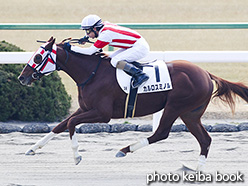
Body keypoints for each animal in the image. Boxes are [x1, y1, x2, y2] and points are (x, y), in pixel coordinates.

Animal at [17, 37, 248, 169]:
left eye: (37, 57)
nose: (22, 77)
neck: (92, 73)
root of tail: (206, 73)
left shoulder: (102, 113)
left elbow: (72, 124)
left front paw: (77, 156)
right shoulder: (85, 108)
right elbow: (60, 125)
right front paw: (32, 148)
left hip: (176, 106)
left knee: (161, 133)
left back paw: (124, 149)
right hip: (191, 113)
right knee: (204, 139)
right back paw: (198, 170)